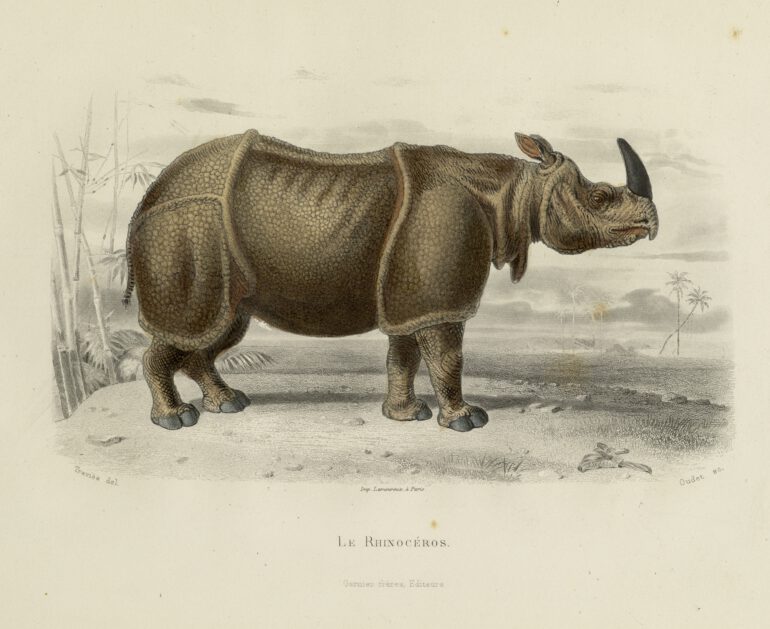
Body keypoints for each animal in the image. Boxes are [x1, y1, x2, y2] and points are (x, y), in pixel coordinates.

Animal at [123, 130, 657, 432]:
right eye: (601, 196)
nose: (651, 223)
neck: (514, 191)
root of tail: (150, 194)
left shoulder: (412, 293)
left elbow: (404, 356)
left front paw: (404, 415)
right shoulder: (437, 297)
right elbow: (447, 358)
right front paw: (467, 421)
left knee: (220, 326)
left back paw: (229, 404)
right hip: (187, 221)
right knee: (194, 326)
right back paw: (176, 421)